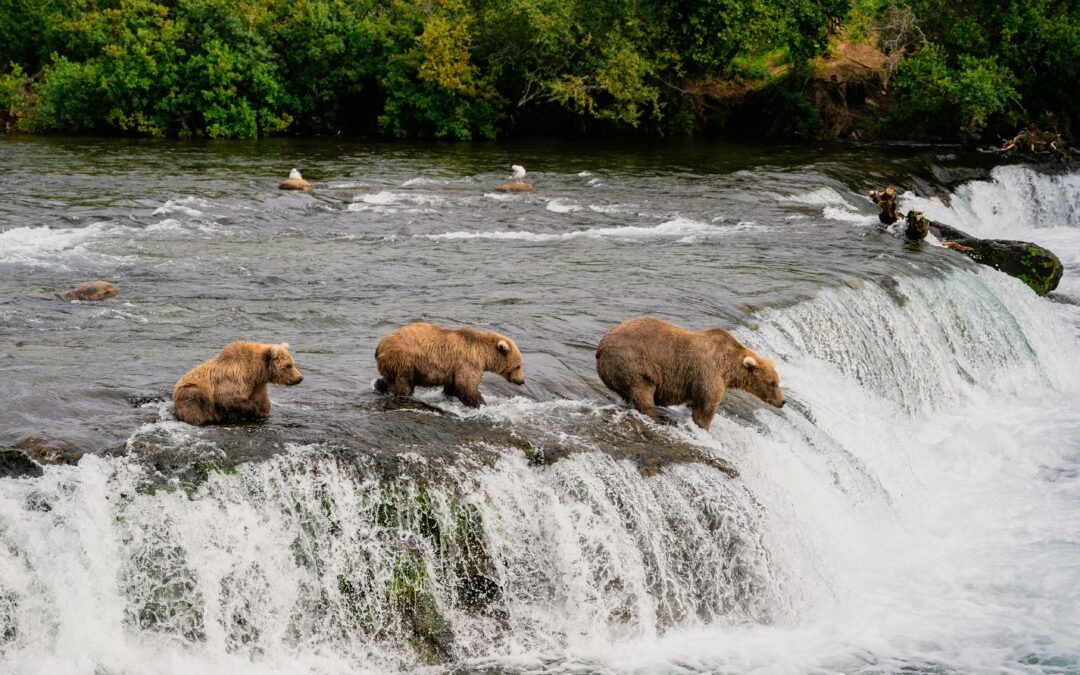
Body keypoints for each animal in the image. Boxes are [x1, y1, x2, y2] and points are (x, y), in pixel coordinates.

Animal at [173, 341, 303, 425]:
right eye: (288, 366)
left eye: (293, 363)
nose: (300, 377)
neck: (256, 372)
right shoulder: (233, 379)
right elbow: (227, 398)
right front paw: (253, 410)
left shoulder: (258, 385)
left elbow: (262, 402)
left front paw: (262, 413)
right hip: (190, 390)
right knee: (196, 401)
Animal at [374, 322, 525, 407]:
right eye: (518, 365)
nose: (522, 381)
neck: (483, 354)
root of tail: (380, 345)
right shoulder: (468, 363)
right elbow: (467, 386)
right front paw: (482, 404)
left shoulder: (455, 368)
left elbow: (453, 386)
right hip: (405, 361)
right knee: (403, 384)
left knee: (388, 379)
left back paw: (379, 386)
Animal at [595, 316, 784, 431]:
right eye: (772, 383)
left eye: (777, 381)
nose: (783, 401)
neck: (728, 368)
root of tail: (600, 347)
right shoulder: (708, 373)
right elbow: (705, 408)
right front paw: (703, 427)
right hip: (634, 364)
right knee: (642, 392)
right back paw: (658, 418)